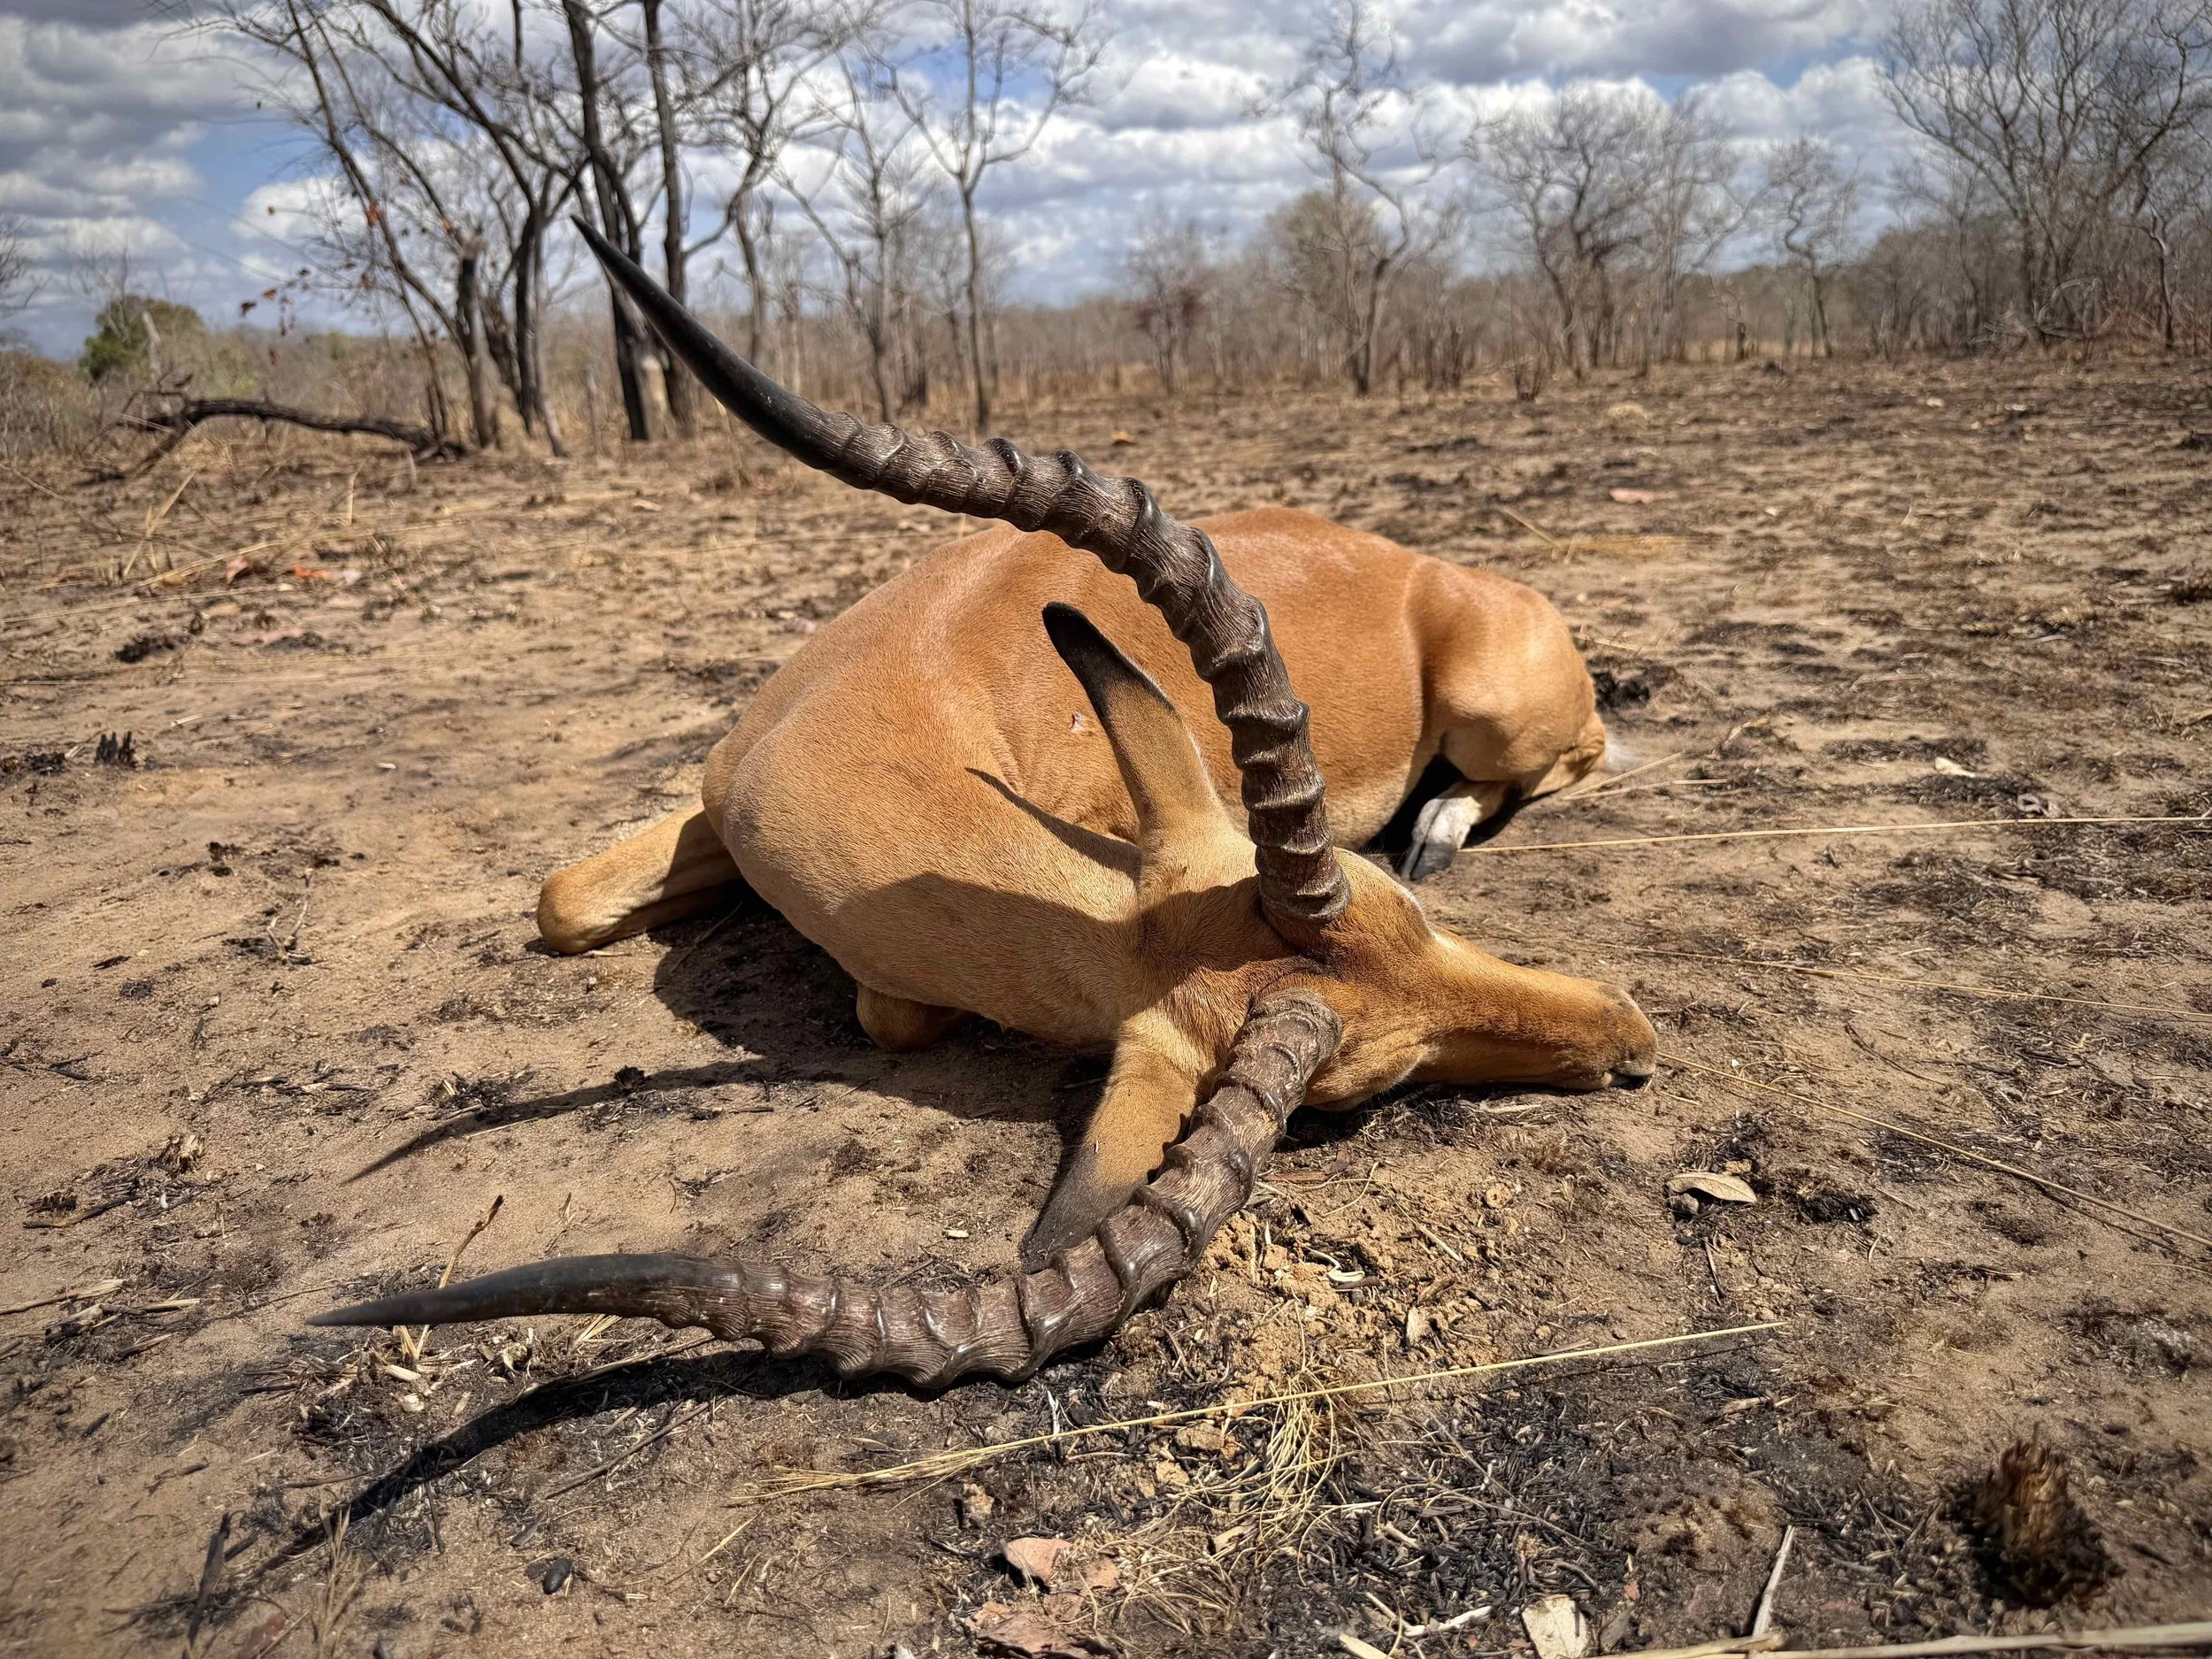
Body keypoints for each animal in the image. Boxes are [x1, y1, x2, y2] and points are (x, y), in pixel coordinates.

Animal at [312, 221, 1656, 1385]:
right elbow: (562, 901)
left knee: (1576, 753)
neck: (896, 697)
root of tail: (1449, 578)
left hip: (1499, 709)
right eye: (1368, 1086)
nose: (1633, 1041)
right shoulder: (713, 814)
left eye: (1407, 919)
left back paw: (1448, 817)